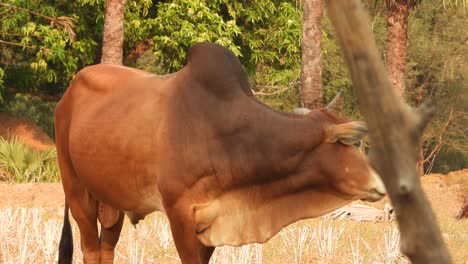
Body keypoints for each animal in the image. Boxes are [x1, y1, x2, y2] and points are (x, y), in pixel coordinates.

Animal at [54, 42, 386, 262]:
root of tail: (67, 95)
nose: (381, 185)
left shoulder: (210, 223)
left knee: (106, 248)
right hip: (77, 192)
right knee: (90, 249)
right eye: (350, 143)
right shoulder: (180, 214)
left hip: (113, 203)